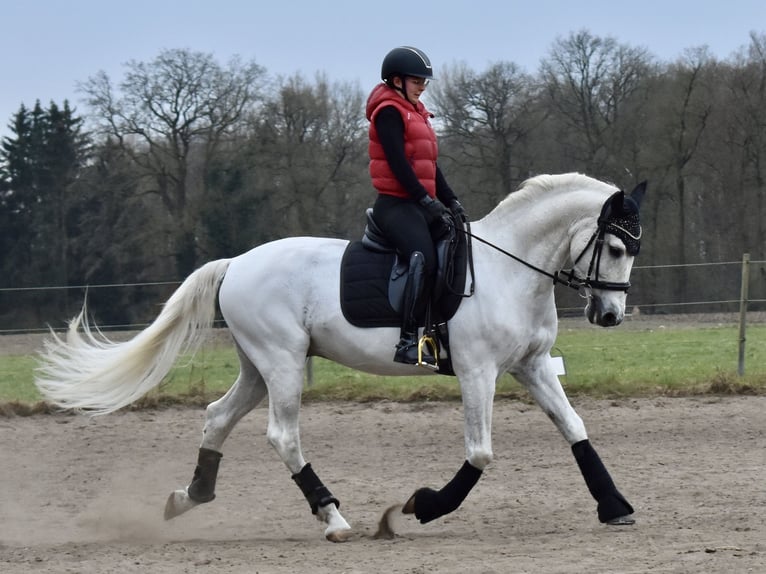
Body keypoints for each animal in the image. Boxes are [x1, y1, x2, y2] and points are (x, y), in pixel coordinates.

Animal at [35, 172, 646, 542]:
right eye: (616, 247)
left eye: (632, 249)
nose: (611, 316)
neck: (510, 269)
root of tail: (237, 263)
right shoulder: (478, 373)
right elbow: (480, 453)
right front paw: (423, 505)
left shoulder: (532, 366)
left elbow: (575, 427)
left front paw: (614, 504)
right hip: (281, 363)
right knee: (283, 437)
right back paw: (333, 518)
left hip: (259, 368)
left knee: (217, 417)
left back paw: (191, 497)